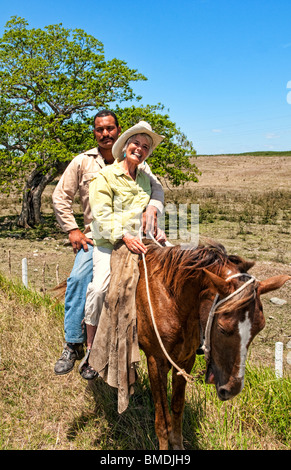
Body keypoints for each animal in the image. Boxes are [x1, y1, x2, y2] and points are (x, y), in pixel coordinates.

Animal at [136, 241, 290, 450]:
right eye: (223, 329)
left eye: (260, 328)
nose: (232, 390)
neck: (170, 299)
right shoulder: (155, 361)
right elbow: (162, 420)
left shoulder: (185, 361)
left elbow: (177, 407)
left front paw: (178, 445)